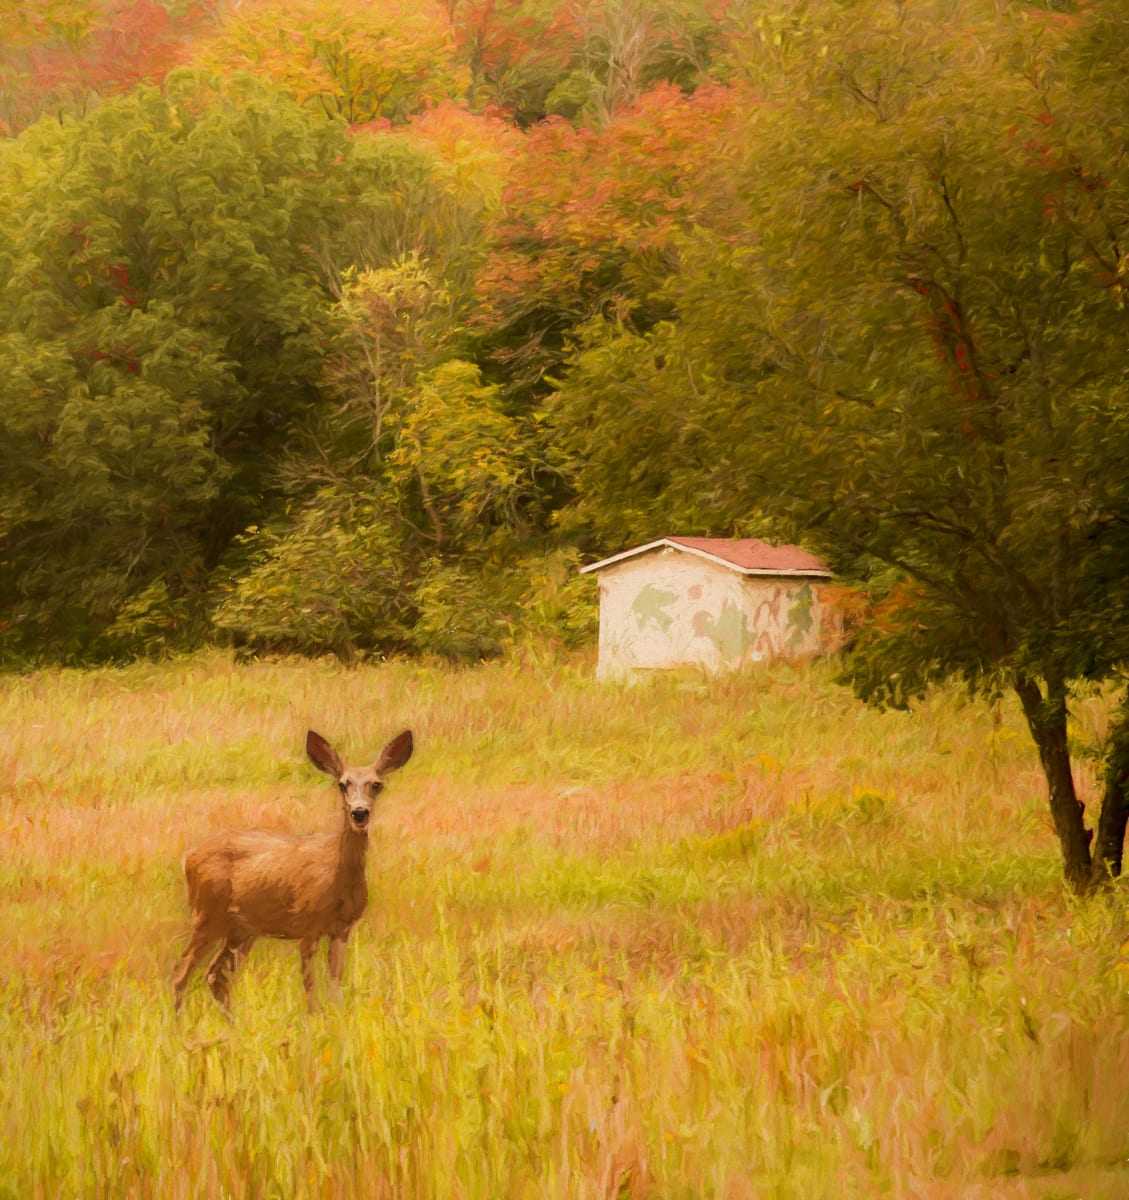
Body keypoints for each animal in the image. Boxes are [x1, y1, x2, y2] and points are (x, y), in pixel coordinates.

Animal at [172, 728, 414, 1014]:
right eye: (342, 784)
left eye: (376, 784)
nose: (359, 812)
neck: (338, 878)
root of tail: (188, 857)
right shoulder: (307, 923)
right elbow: (310, 986)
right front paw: (313, 1019)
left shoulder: (342, 929)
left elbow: (334, 986)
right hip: (206, 914)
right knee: (181, 972)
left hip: (241, 929)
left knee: (215, 975)